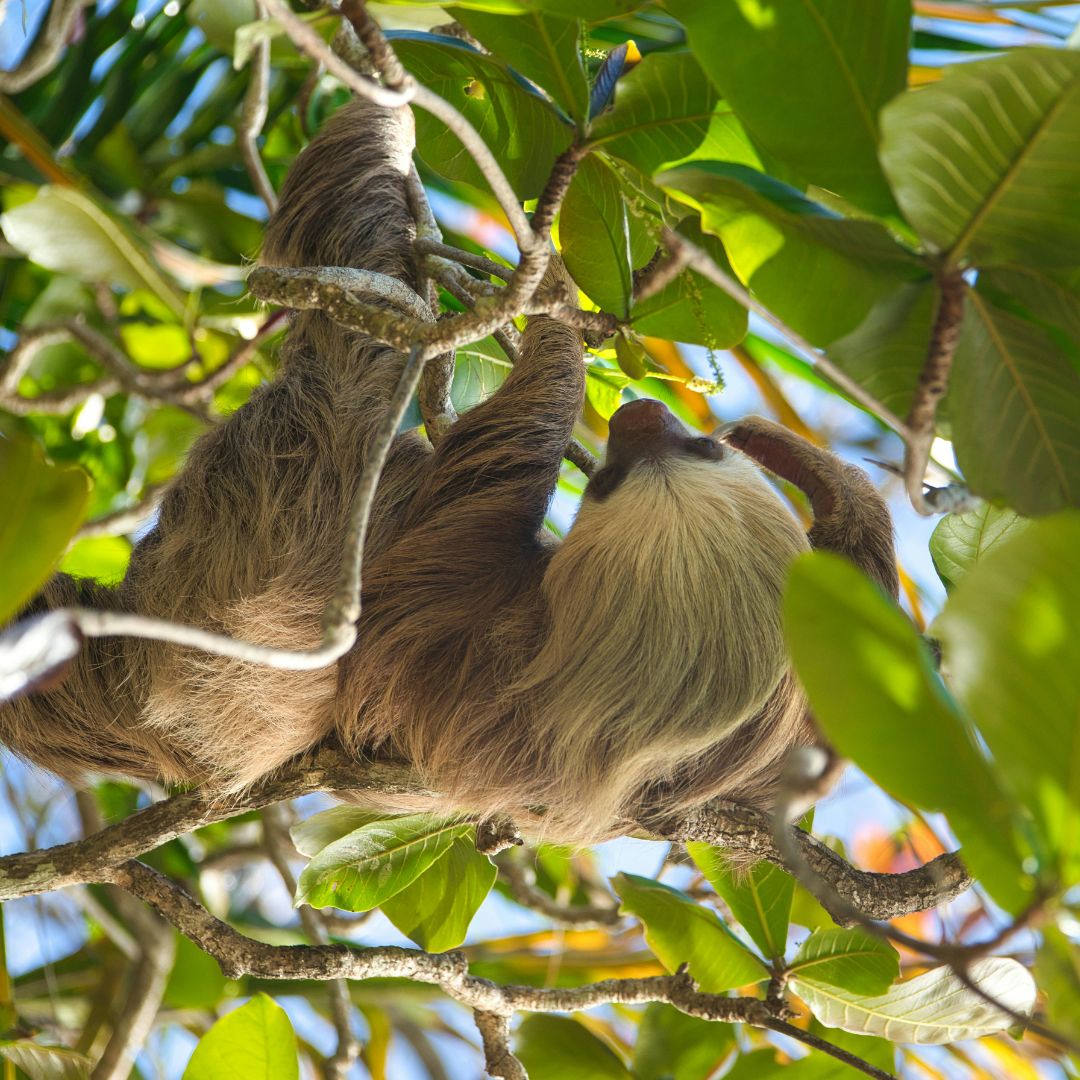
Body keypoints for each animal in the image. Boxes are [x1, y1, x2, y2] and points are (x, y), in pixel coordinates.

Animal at [0, 99, 898, 844]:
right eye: (702, 449)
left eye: (609, 485)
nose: (641, 419)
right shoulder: (735, 758)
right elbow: (824, 735)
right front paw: (807, 466)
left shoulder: (442, 641)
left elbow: (489, 458)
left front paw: (550, 306)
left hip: (249, 535)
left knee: (353, 314)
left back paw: (380, 120)